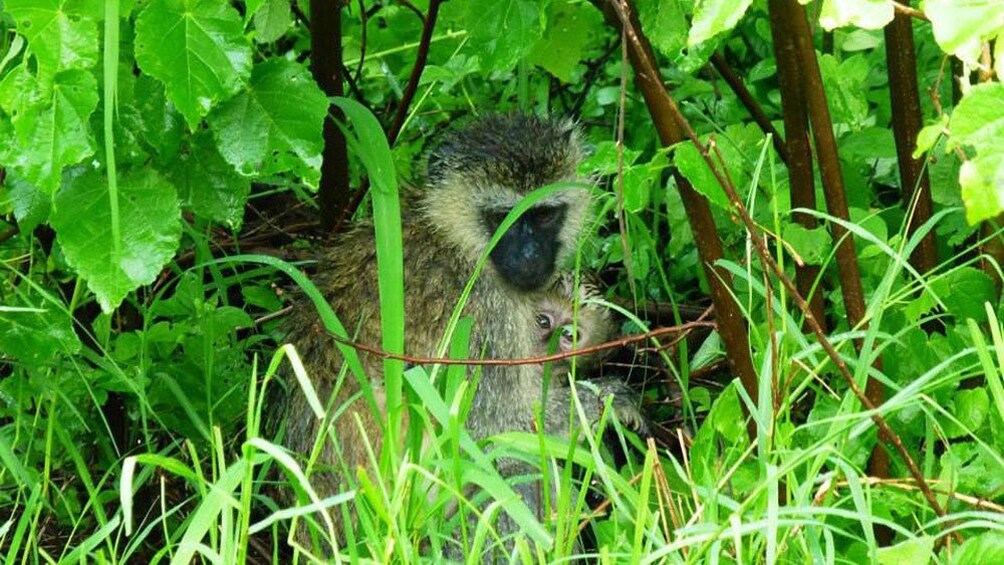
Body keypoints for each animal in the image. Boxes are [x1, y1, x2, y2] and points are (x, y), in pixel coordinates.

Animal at [277, 115, 645, 559]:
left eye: (543, 215)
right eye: (503, 216)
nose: (529, 258)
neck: (452, 237)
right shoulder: (481, 314)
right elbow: (494, 426)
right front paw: (612, 399)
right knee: (514, 468)